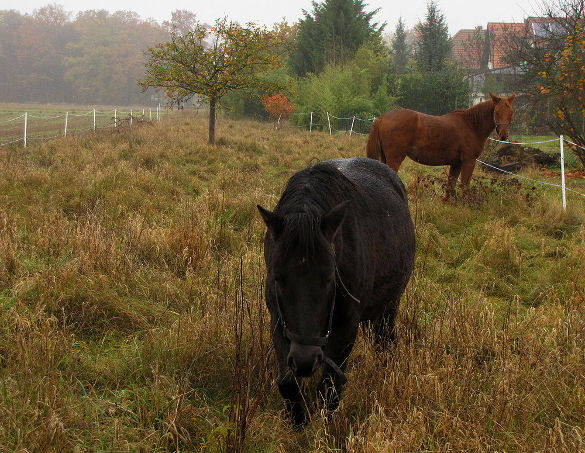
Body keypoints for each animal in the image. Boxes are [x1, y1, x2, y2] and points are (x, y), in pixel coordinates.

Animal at [256, 157, 416, 426]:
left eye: (331, 277)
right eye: (277, 277)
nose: (305, 361)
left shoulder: (345, 329)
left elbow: (328, 389)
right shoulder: (279, 322)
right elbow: (288, 383)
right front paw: (297, 421)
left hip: (388, 308)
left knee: (385, 340)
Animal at [368, 92, 512, 200]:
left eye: (511, 112)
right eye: (497, 112)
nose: (504, 135)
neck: (471, 125)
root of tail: (382, 118)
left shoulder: (456, 163)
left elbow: (450, 185)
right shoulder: (469, 161)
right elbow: (464, 185)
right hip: (395, 159)